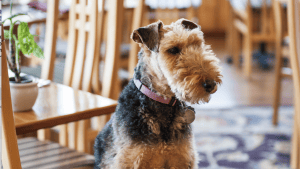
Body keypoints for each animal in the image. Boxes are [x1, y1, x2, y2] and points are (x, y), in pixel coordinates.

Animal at [94, 18, 223, 169]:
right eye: (173, 50)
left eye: (197, 43)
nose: (211, 84)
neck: (162, 100)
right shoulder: (130, 161)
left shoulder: (183, 160)